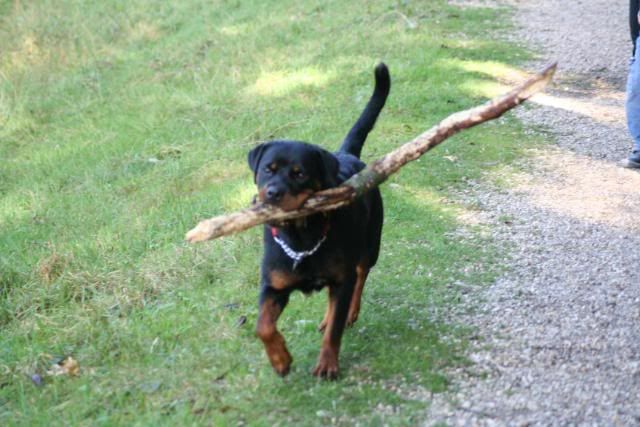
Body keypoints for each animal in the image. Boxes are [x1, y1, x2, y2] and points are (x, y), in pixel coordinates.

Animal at [248, 62, 390, 378]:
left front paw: (327, 364)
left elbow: (335, 330)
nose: (273, 193)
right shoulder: (273, 286)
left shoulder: (341, 277)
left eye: (299, 173)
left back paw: (351, 310)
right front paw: (280, 359)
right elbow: (263, 326)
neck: (301, 238)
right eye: (267, 169)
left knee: (360, 276)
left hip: (370, 244)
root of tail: (346, 155)